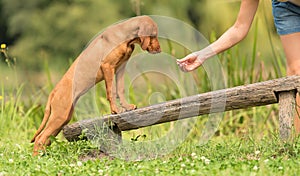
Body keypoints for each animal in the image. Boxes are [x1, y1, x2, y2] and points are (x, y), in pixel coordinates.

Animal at [31, 15, 162, 155]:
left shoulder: (120, 67)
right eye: (154, 35)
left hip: (63, 118)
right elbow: (111, 91)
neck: (126, 37)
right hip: (59, 116)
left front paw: (126, 106)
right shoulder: (107, 67)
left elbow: (120, 89)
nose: (160, 50)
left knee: (46, 140)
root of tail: (54, 91)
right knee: (40, 139)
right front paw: (115, 110)